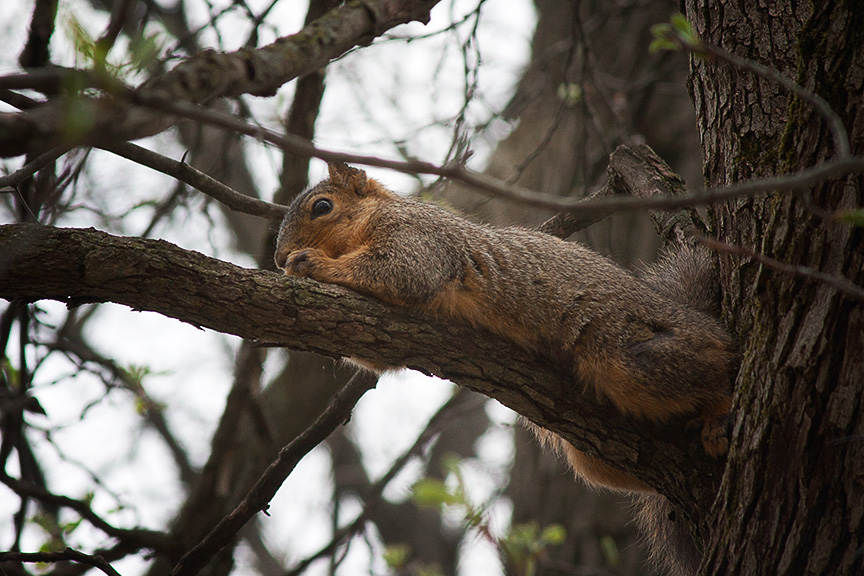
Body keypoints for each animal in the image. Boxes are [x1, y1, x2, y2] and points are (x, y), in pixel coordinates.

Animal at [275, 162, 737, 573]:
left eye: (322, 206)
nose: (279, 258)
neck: (370, 220)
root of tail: (697, 318)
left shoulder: (419, 238)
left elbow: (400, 271)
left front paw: (313, 263)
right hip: (593, 454)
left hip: (632, 355)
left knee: (717, 367)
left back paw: (719, 413)